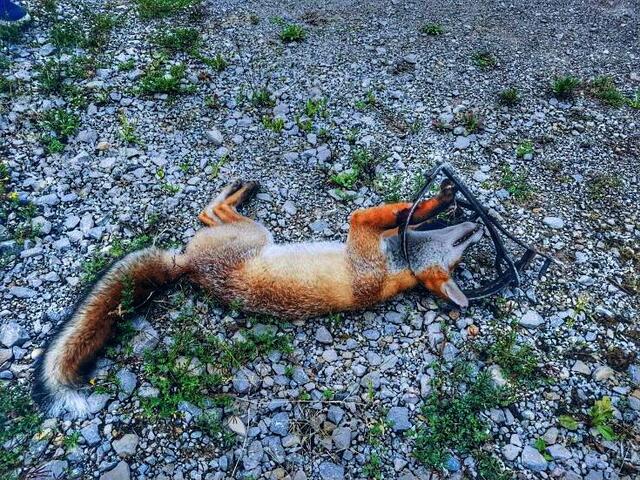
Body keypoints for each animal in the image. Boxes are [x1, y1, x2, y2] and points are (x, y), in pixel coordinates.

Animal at [33, 179, 483, 418]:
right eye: (460, 250)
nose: (477, 228)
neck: (394, 267)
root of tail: (186, 266)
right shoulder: (373, 236)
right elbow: (400, 213)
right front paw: (438, 202)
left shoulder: (360, 233)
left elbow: (374, 213)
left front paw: (435, 202)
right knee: (207, 213)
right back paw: (240, 187)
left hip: (252, 233)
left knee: (210, 212)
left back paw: (237, 190)